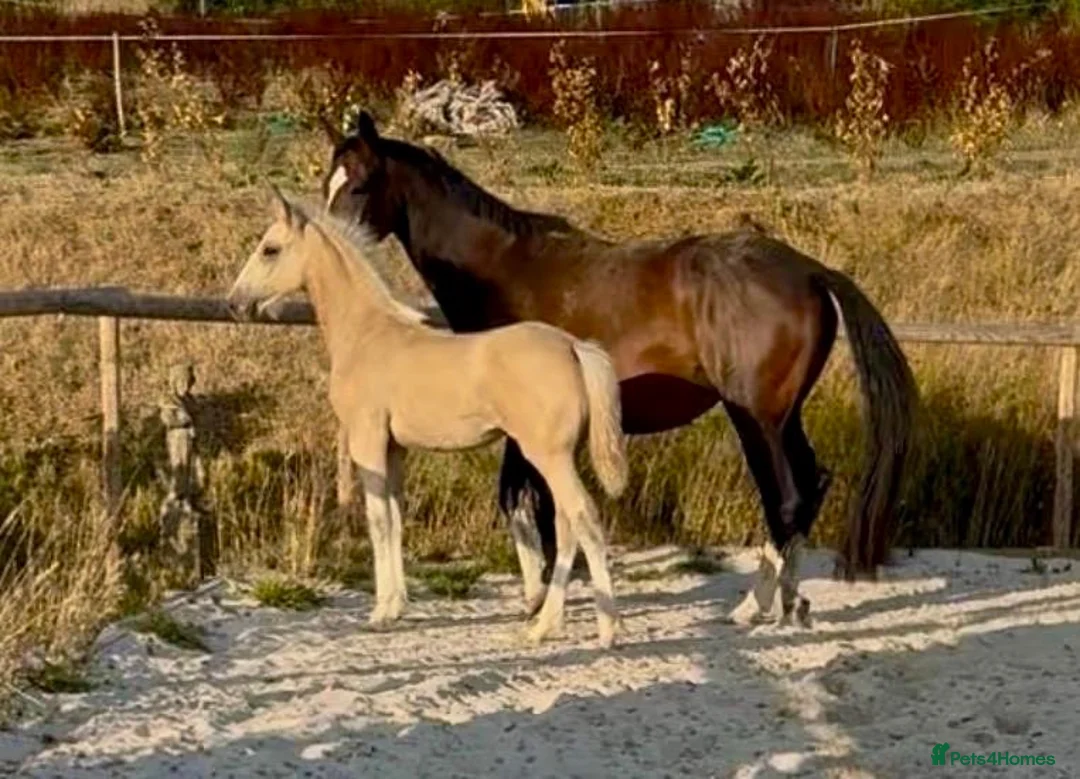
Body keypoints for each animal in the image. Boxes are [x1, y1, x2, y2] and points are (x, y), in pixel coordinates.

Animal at [226, 186, 629, 648]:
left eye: (270, 249)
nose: (235, 304)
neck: (366, 335)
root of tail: (573, 347)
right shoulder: (395, 448)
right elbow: (397, 517)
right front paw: (397, 605)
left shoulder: (367, 440)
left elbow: (378, 520)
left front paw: (380, 613)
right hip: (557, 458)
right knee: (565, 526)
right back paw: (544, 626)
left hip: (549, 456)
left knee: (585, 519)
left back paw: (607, 630)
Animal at [320, 111, 919, 628]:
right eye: (329, 181)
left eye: (359, 185)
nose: (330, 244)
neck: (505, 269)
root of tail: (811, 271)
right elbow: (523, 502)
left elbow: (529, 504)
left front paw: (543, 599)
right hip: (783, 416)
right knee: (810, 486)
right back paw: (791, 603)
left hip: (757, 419)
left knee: (788, 497)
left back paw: (753, 606)